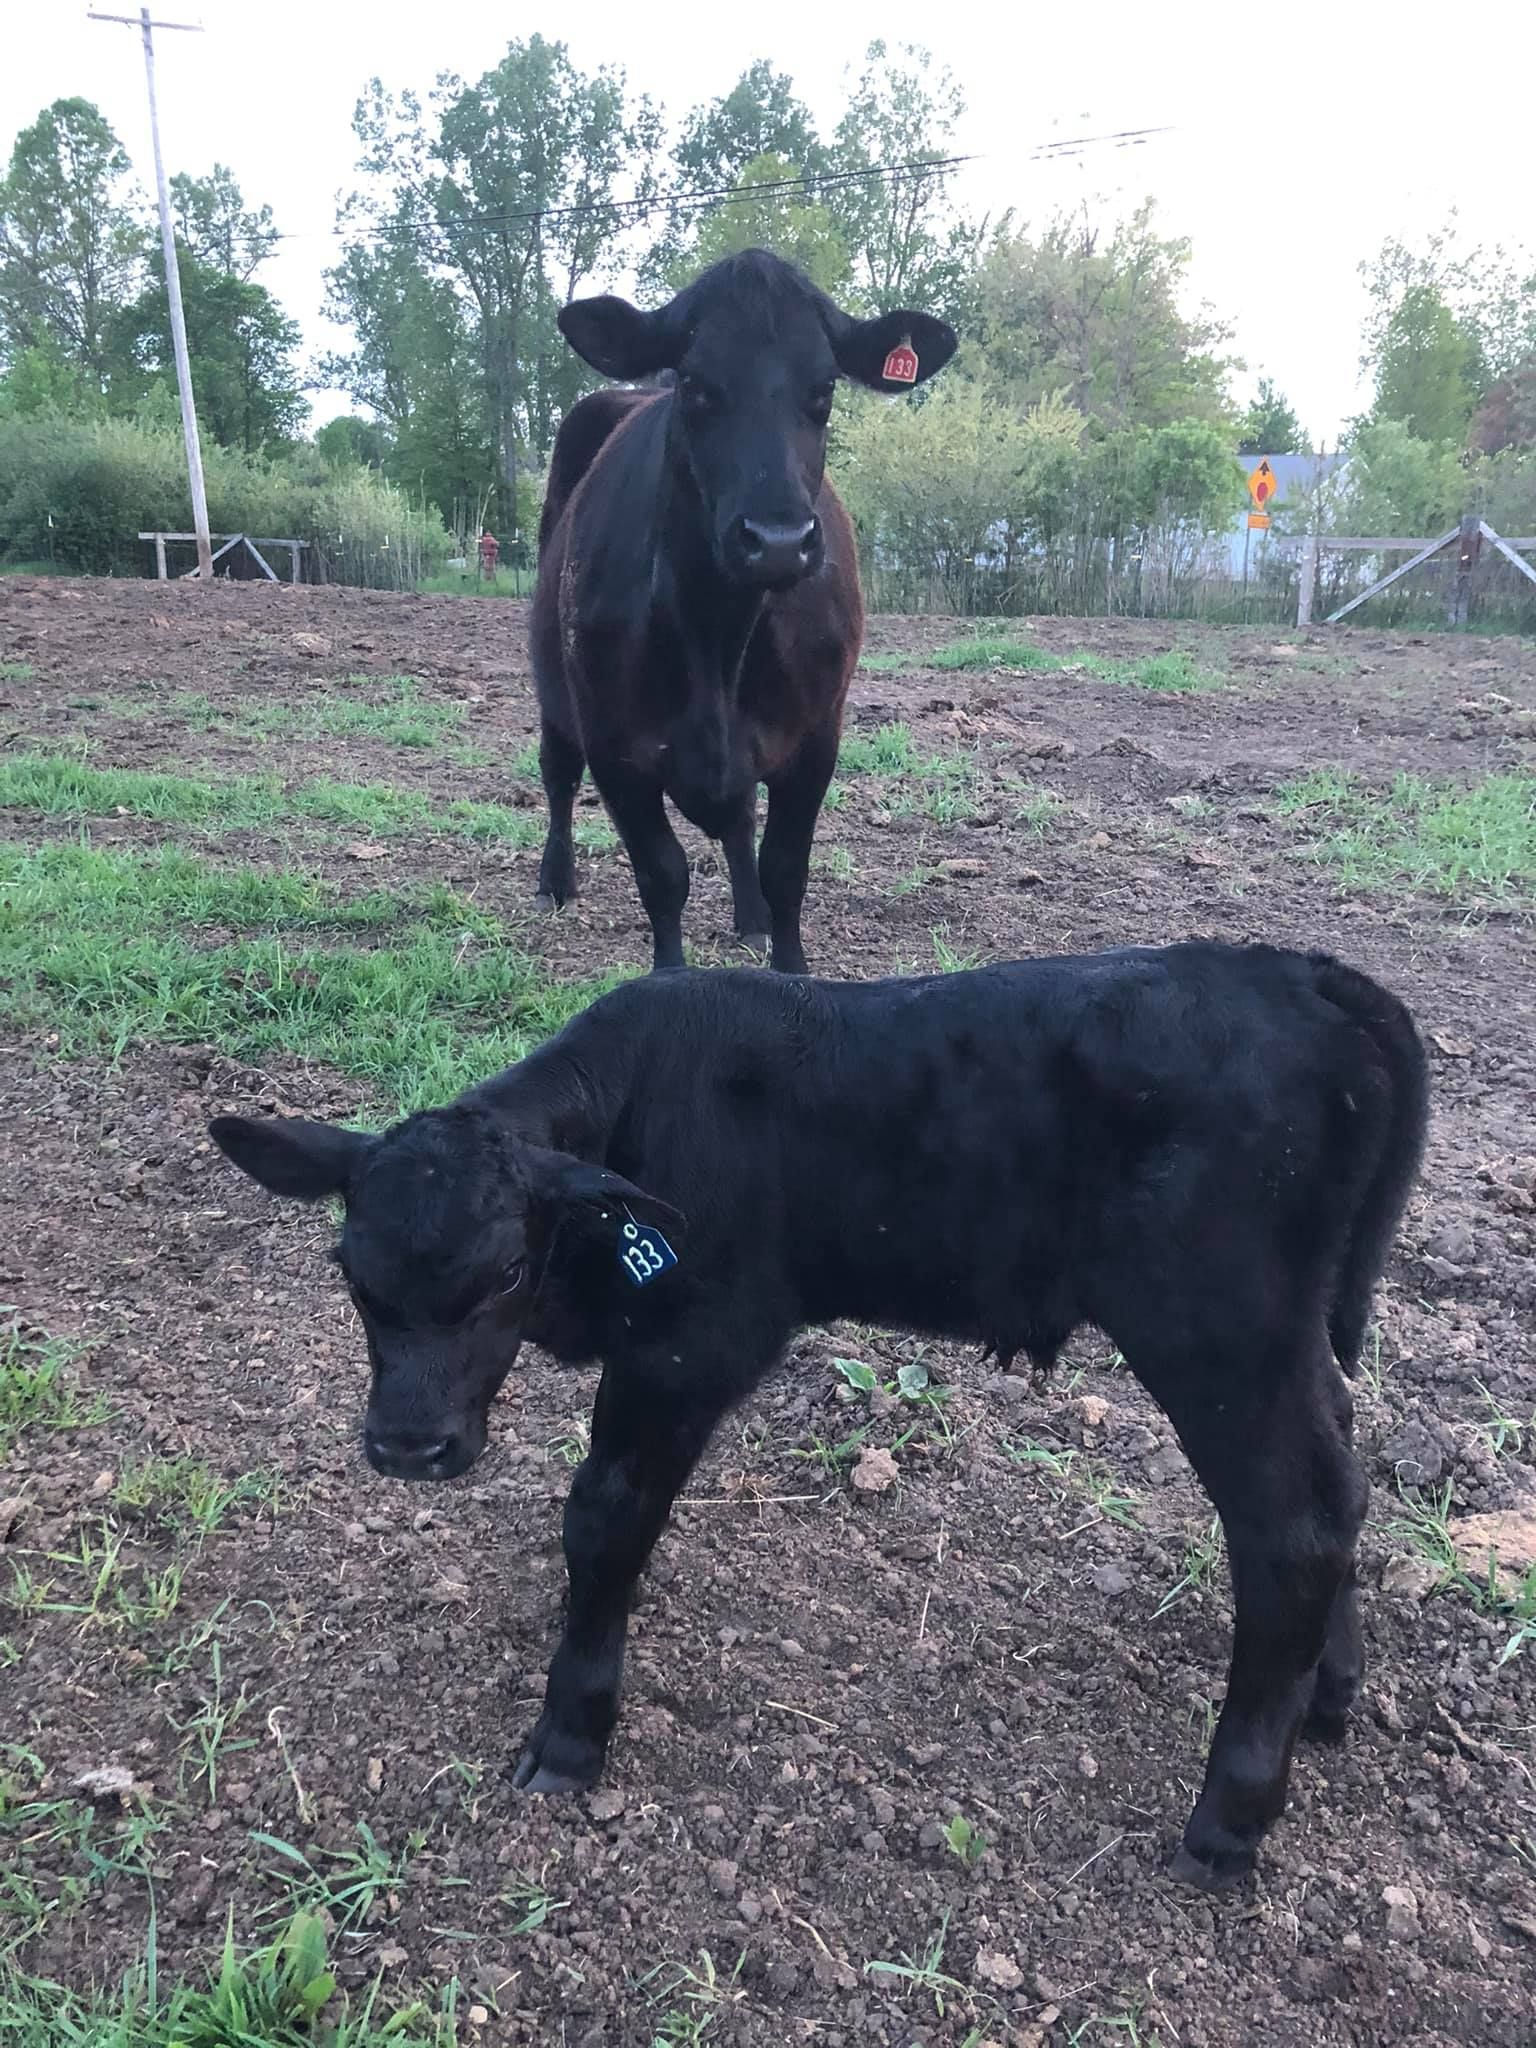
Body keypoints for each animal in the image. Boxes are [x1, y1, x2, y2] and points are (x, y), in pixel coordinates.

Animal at [208, 938, 1428, 1889]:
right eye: (351, 1272)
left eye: (507, 1268)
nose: (410, 1445)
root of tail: (1301, 973)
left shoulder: (690, 1346)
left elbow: (604, 1515)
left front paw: (570, 1730)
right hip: (1290, 1331)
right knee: (1341, 1469)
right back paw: (1330, 1692)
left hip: (1216, 1326)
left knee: (1292, 1521)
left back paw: (1228, 1818)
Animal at [529, 248, 958, 974]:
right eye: (697, 385)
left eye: (825, 390)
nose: (778, 540)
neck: (717, 635)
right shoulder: (615, 747)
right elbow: (662, 876)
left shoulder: (816, 738)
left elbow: (784, 868)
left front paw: (787, 963)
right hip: (554, 690)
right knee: (558, 774)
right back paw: (555, 880)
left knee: (738, 823)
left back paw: (750, 917)